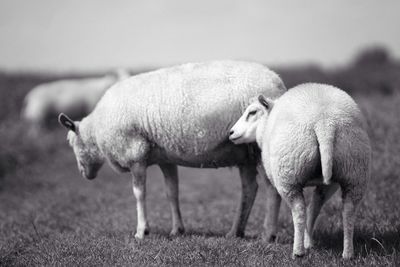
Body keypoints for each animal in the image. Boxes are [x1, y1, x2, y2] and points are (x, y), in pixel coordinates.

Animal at [57, 61, 288, 241]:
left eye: (71, 142)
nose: (83, 173)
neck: (97, 130)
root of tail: (278, 84)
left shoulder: (135, 154)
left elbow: (139, 194)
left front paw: (142, 231)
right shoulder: (165, 158)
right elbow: (172, 192)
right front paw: (177, 229)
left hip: (260, 149)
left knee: (271, 188)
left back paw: (268, 234)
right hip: (244, 154)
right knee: (249, 188)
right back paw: (235, 232)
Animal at [228, 84, 372, 260]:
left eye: (253, 112)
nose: (231, 133)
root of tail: (325, 122)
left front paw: (304, 243)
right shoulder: (329, 184)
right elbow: (315, 207)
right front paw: (309, 242)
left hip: (288, 174)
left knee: (298, 210)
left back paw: (297, 252)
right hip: (354, 169)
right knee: (348, 211)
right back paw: (347, 253)